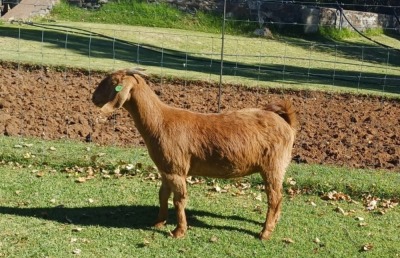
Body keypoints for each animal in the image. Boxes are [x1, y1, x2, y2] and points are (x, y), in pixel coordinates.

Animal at [91, 68, 296, 240]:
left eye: (112, 82)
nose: (93, 98)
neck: (159, 121)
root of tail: (287, 123)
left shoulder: (176, 170)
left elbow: (179, 200)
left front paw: (178, 231)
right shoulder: (166, 169)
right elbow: (162, 195)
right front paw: (159, 222)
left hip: (273, 166)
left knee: (274, 198)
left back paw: (265, 232)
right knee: (278, 198)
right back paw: (273, 223)